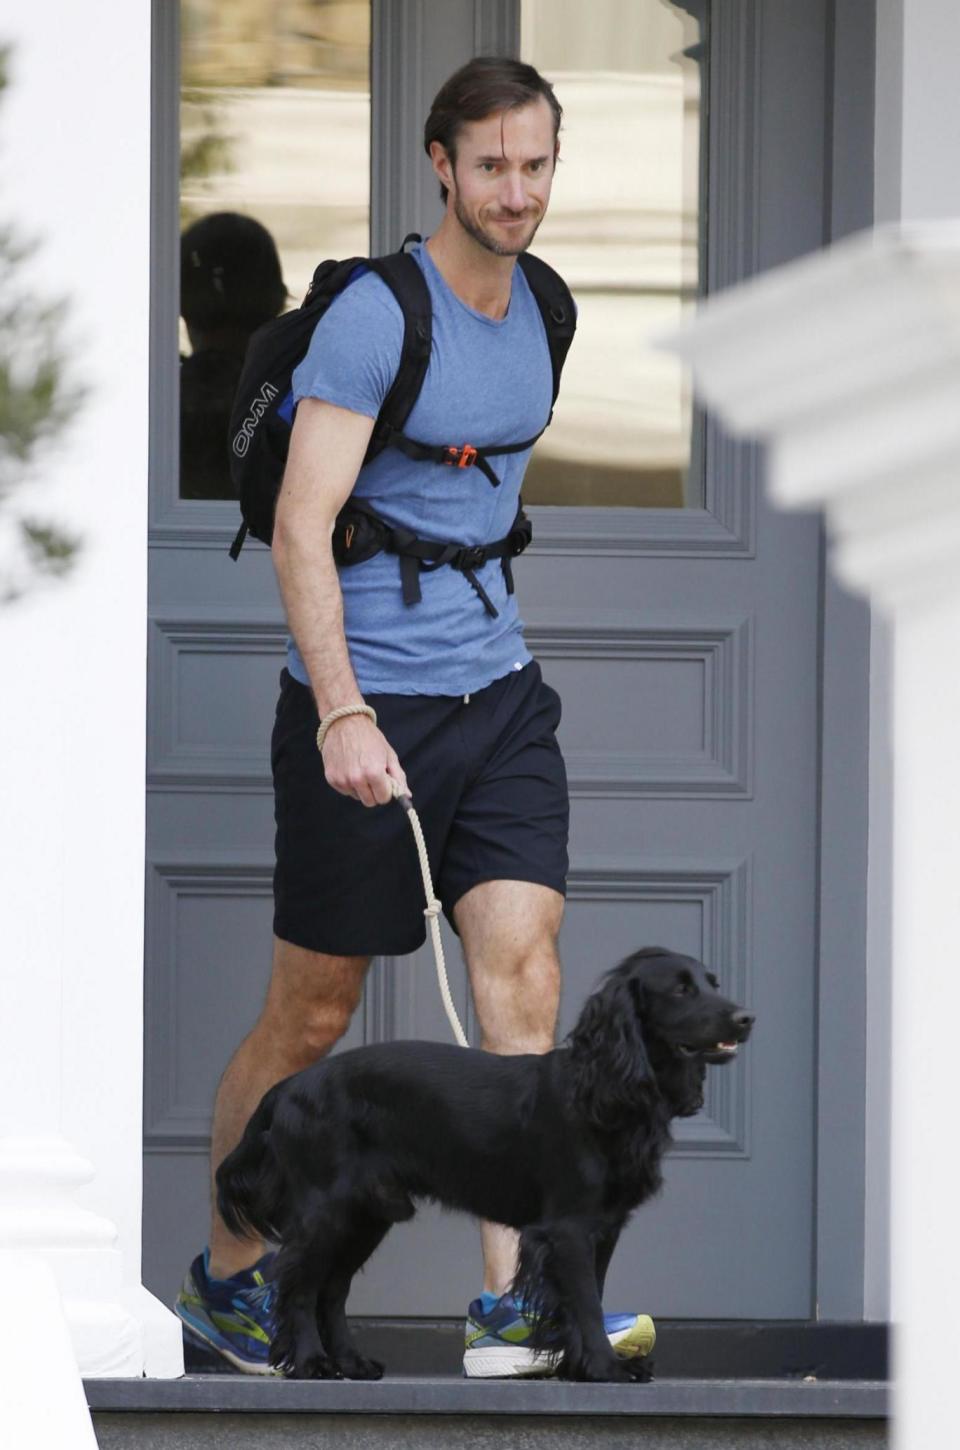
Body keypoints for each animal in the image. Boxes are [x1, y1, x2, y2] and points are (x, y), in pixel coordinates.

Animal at [220, 951, 759, 1380]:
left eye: (712, 982)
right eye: (681, 989)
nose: (747, 1017)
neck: (603, 1088)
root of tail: (290, 1087)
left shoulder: (602, 1228)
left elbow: (587, 1296)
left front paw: (579, 1367)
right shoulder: (568, 1227)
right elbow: (586, 1301)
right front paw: (606, 1367)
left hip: (366, 1215)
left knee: (332, 1289)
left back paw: (351, 1363)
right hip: (326, 1210)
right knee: (300, 1286)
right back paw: (311, 1362)